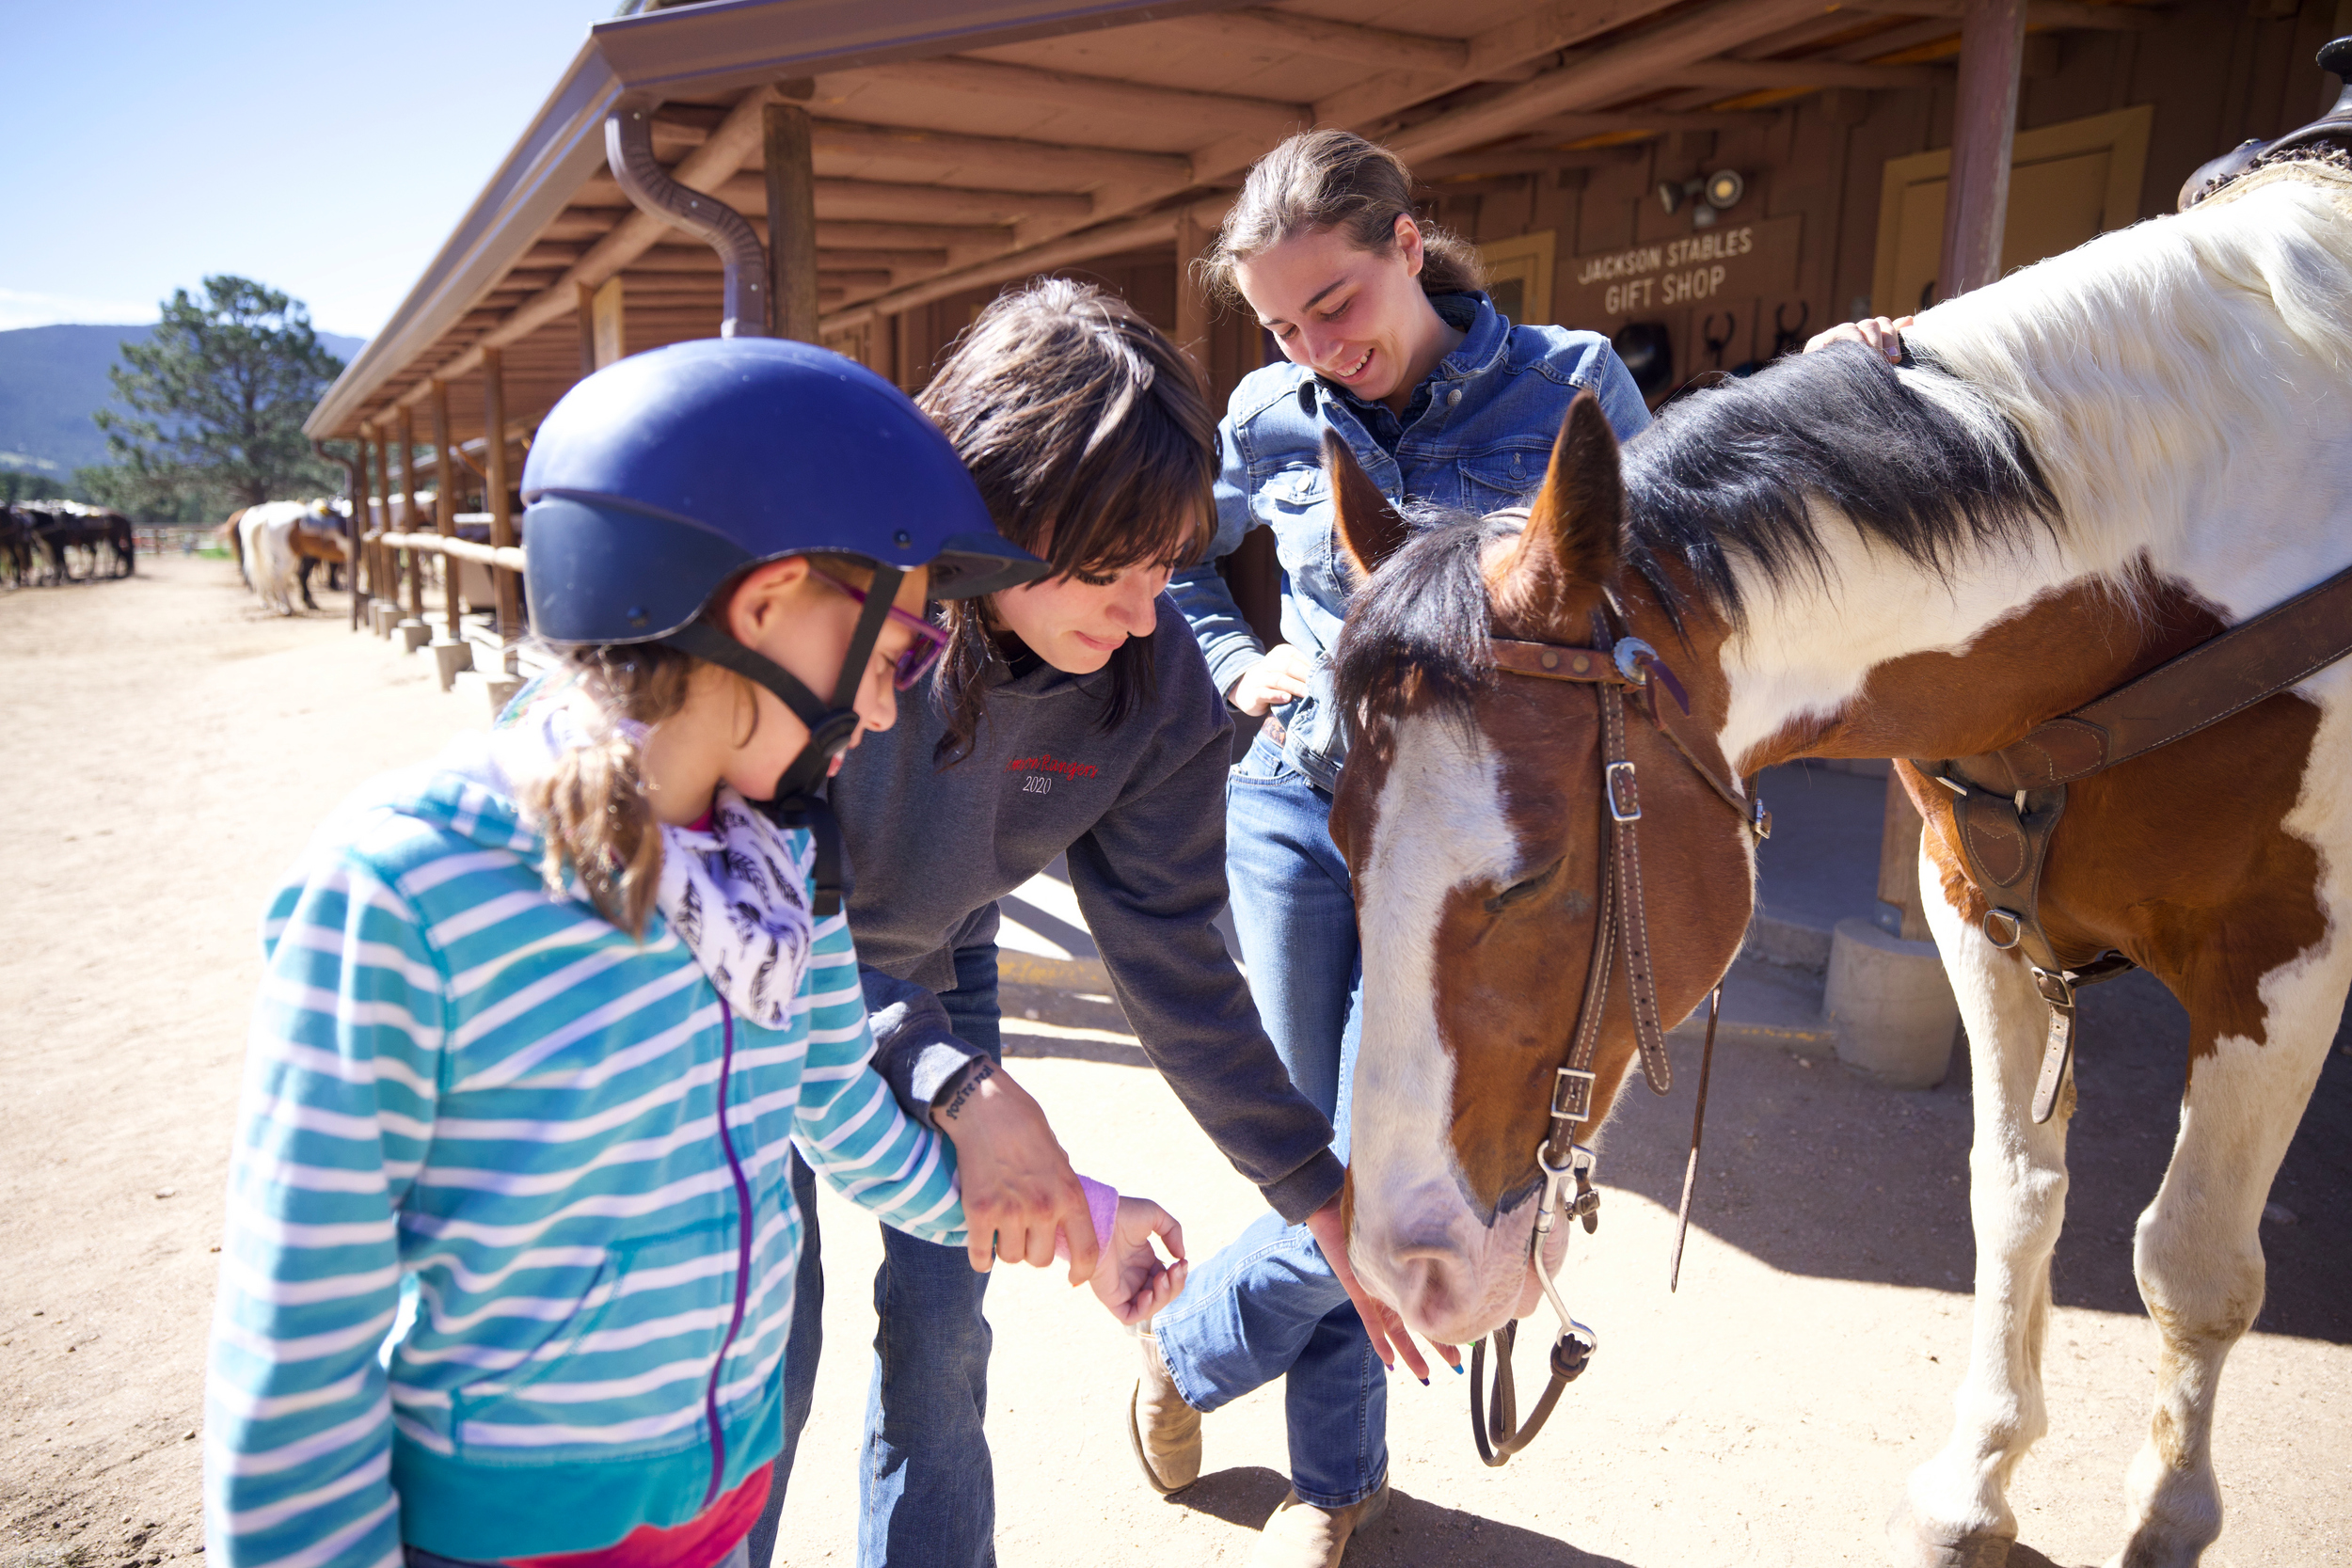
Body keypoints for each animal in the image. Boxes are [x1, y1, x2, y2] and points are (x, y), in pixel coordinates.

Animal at [1327, 162, 2352, 1568]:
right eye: (1337, 840)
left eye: (1531, 875)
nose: (1402, 1267)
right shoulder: (1974, 911)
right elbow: (2014, 1199)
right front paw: (1977, 1478)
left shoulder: (2281, 950)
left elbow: (2190, 1260)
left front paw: (2167, 1517)